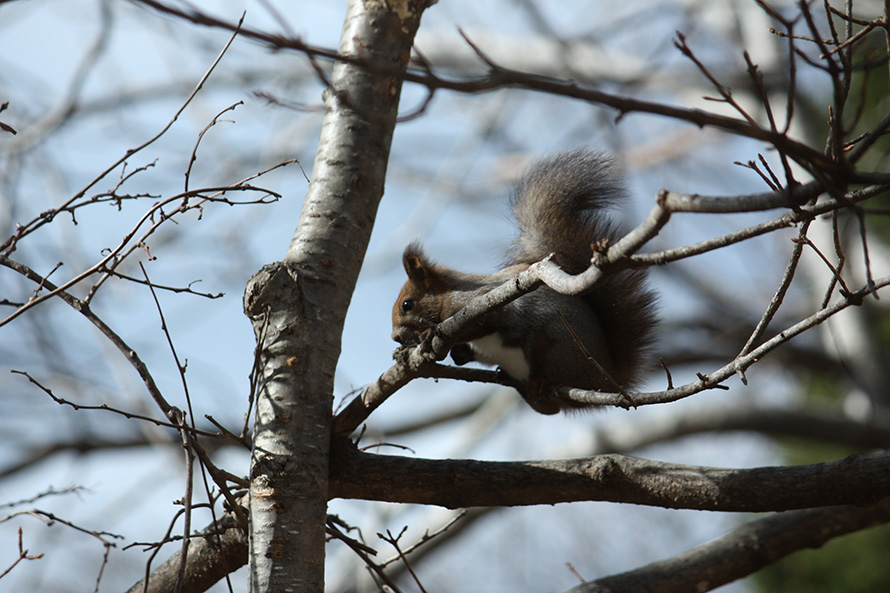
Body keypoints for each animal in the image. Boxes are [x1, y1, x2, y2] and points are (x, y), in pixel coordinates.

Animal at [392, 148, 656, 414]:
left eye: (407, 304)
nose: (395, 337)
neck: (447, 295)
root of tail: (606, 378)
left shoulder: (479, 305)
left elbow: (485, 323)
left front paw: (428, 333)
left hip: (556, 347)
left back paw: (540, 381)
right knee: (548, 408)